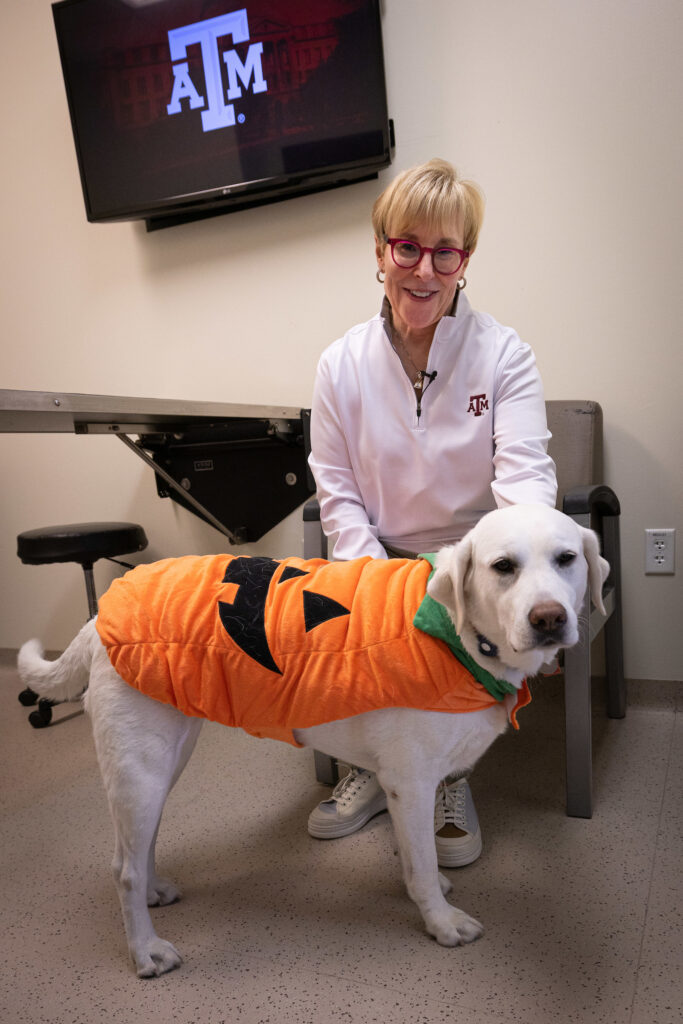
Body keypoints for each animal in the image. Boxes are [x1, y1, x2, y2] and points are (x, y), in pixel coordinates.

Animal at [17, 503, 610, 974]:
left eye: (567, 559)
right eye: (503, 567)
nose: (549, 618)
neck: (457, 633)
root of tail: (97, 619)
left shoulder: (409, 789)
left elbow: (415, 854)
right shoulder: (412, 783)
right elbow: (420, 863)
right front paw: (439, 921)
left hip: (163, 761)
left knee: (134, 852)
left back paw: (155, 888)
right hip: (142, 766)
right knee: (123, 869)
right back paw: (145, 952)